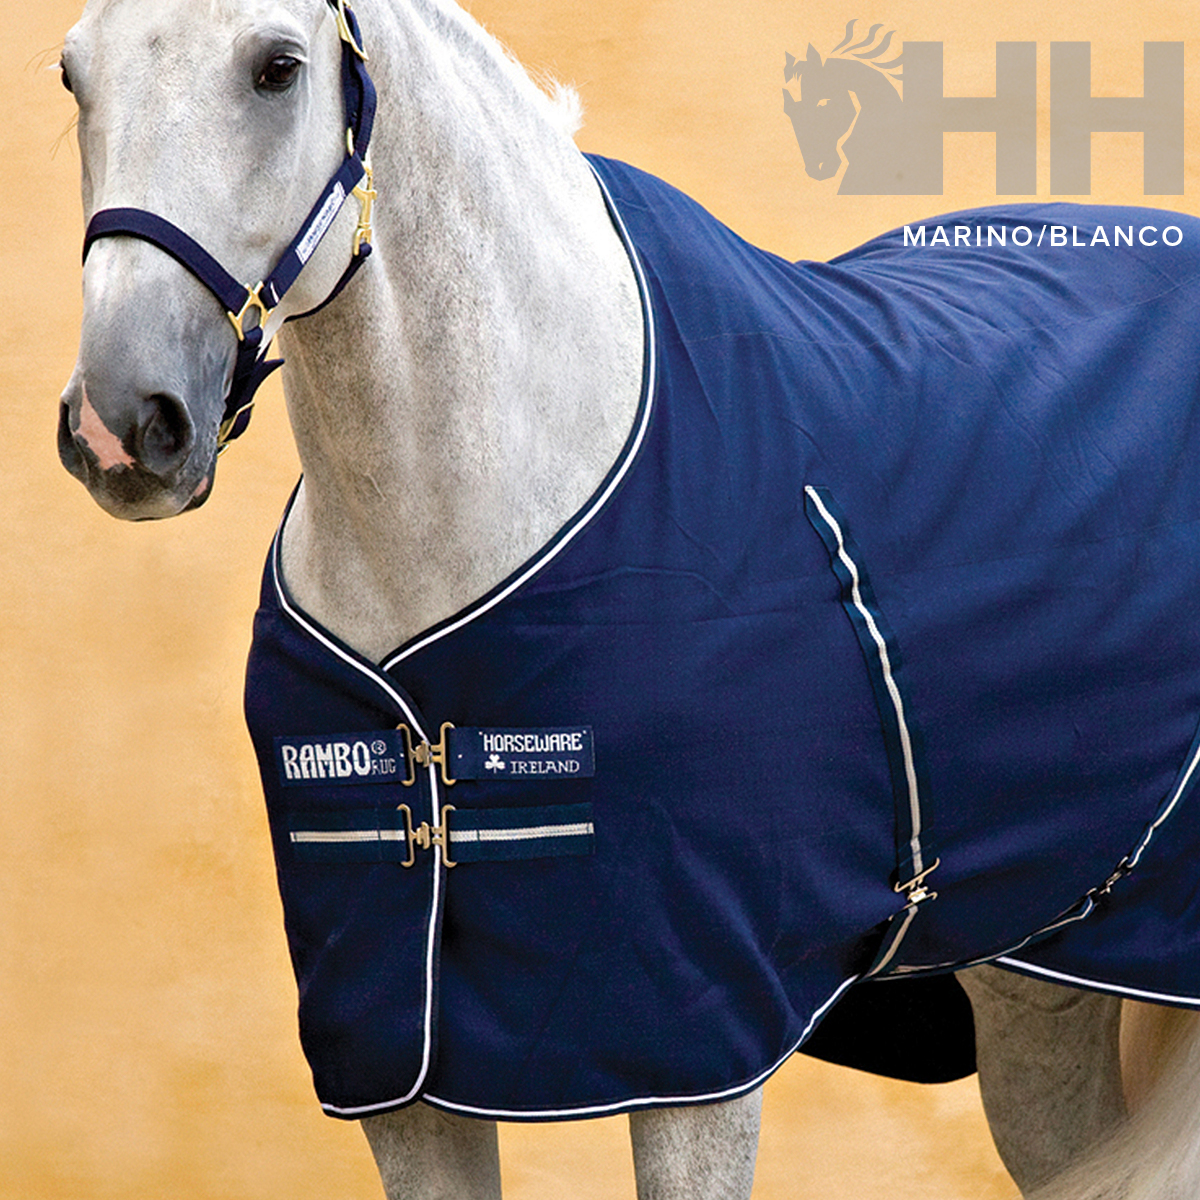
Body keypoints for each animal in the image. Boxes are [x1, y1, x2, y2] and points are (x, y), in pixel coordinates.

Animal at [55, 1, 1200, 1196]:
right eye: (72, 74)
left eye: (277, 68)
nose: (120, 425)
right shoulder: (397, 1062)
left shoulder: (693, 1039)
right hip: (1034, 968)